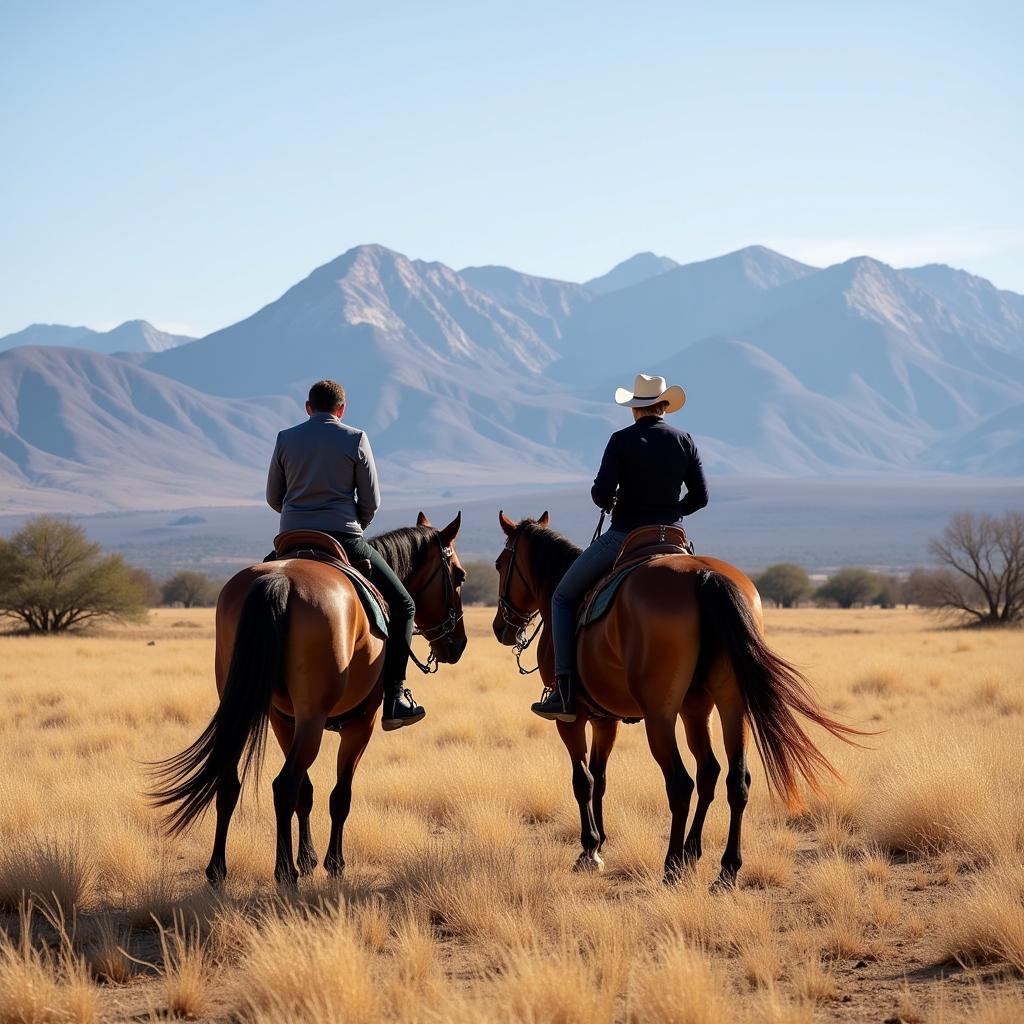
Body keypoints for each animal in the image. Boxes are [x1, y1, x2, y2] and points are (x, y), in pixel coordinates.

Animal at [148, 516, 468, 884]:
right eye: (459, 575)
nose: (458, 644)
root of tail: (279, 580)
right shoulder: (361, 724)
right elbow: (339, 796)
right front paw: (333, 864)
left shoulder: (285, 721)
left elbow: (308, 792)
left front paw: (308, 858)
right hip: (314, 718)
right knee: (284, 785)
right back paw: (285, 874)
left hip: (255, 710)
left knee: (232, 784)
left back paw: (218, 872)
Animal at [491, 512, 860, 888]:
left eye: (500, 563)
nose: (500, 628)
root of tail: (704, 575)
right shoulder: (605, 719)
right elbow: (601, 778)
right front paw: (601, 843)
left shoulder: (573, 718)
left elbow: (584, 781)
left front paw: (590, 850)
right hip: (718, 706)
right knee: (727, 777)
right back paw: (717, 864)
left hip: (662, 716)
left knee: (681, 783)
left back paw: (672, 865)